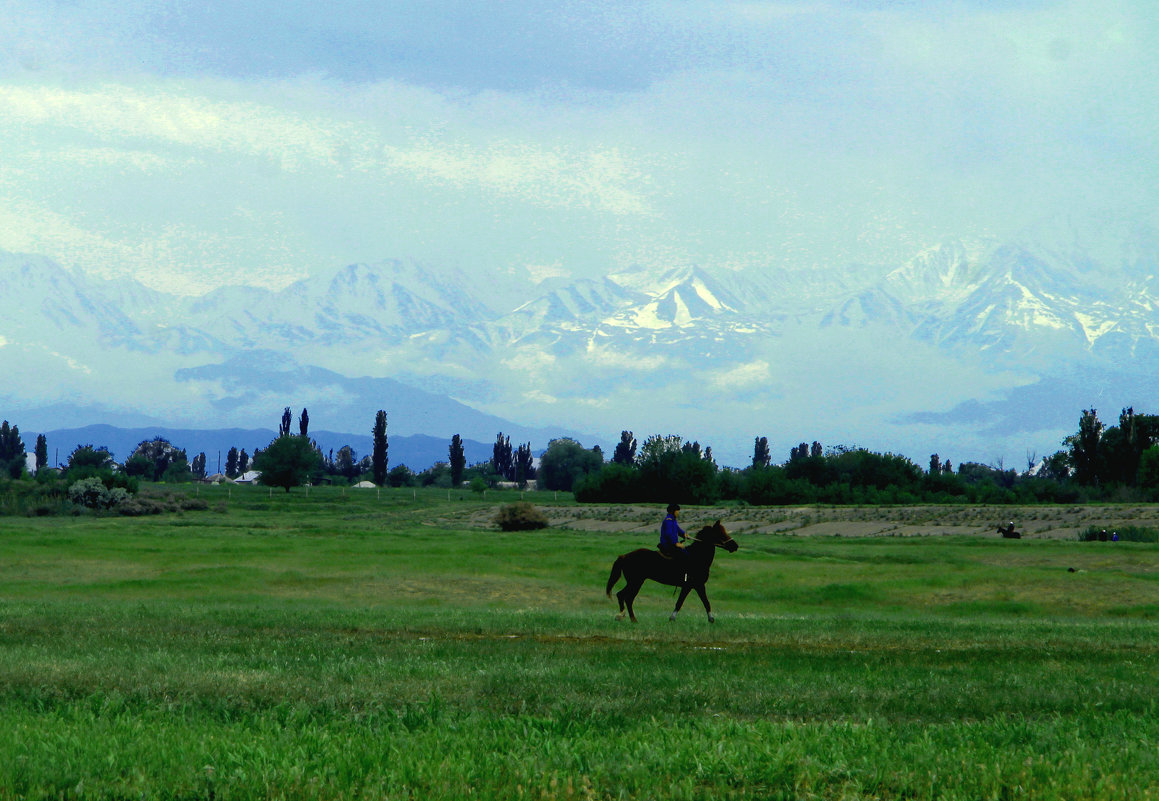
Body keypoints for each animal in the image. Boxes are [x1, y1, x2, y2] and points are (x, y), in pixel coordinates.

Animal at [602, 519, 737, 625]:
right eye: (720, 533)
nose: (735, 546)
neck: (697, 557)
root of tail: (624, 556)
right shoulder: (696, 585)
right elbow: (698, 602)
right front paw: (710, 619)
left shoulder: (692, 586)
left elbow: (693, 602)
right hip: (635, 582)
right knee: (626, 597)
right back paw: (629, 618)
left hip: (635, 582)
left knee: (624, 596)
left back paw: (625, 617)